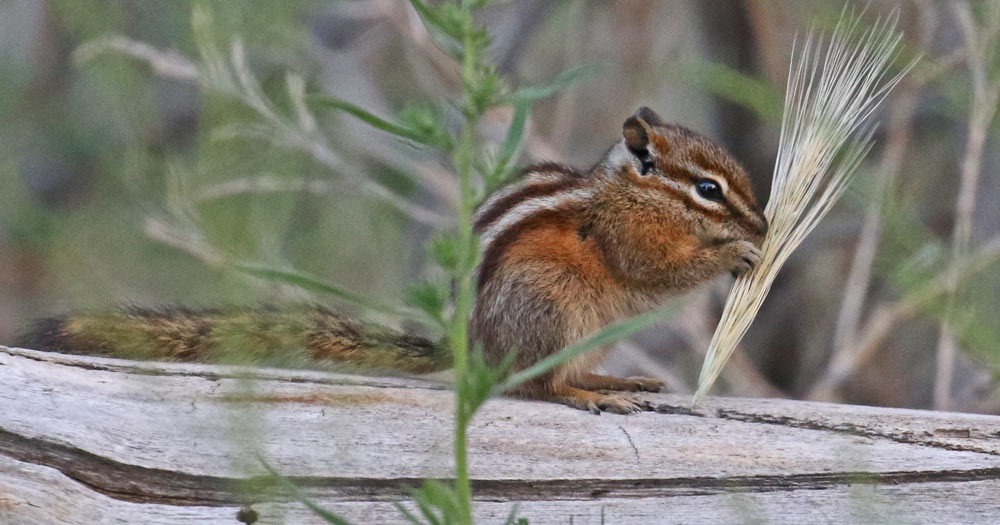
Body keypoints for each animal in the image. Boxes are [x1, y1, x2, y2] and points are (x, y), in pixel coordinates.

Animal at [16, 106, 767, 414]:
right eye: (708, 189)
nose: (762, 220)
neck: (623, 192)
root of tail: (471, 345)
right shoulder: (625, 237)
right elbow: (657, 270)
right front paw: (735, 252)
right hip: (553, 310)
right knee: (532, 385)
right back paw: (588, 394)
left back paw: (614, 378)